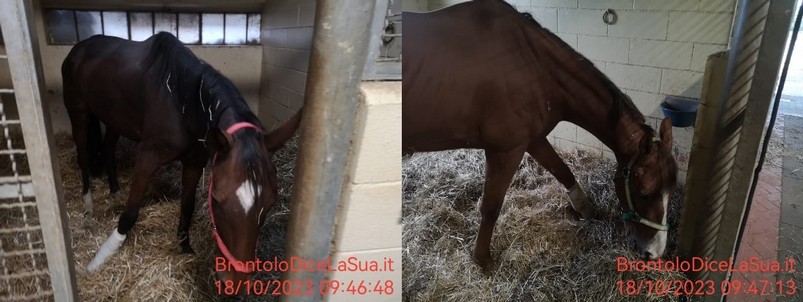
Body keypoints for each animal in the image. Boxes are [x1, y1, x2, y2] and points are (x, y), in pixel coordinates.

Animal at [62, 31, 302, 282]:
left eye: (271, 202)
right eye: (217, 200)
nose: (235, 281)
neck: (183, 102)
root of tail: (78, 48)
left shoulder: (194, 163)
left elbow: (187, 205)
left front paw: (185, 247)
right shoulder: (148, 158)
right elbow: (130, 213)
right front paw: (99, 260)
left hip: (113, 119)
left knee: (108, 148)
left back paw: (115, 190)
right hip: (79, 114)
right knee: (83, 157)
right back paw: (89, 204)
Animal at [402, 0, 680, 276]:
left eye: (672, 189)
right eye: (644, 192)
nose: (654, 253)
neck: (529, 64)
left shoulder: (533, 139)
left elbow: (563, 171)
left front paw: (585, 209)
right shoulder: (506, 150)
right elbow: (491, 206)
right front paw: (483, 259)